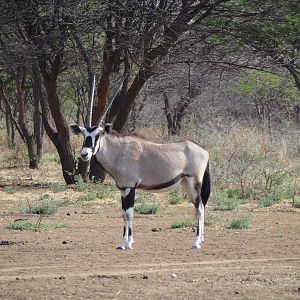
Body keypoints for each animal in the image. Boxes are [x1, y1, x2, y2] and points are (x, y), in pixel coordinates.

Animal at [70, 77, 211, 248]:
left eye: (98, 135)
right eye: (84, 134)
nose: (84, 154)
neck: (119, 151)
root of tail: (204, 151)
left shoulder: (130, 187)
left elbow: (129, 213)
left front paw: (127, 243)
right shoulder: (122, 188)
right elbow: (123, 213)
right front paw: (124, 242)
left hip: (194, 182)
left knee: (200, 207)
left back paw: (196, 242)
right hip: (185, 183)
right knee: (198, 207)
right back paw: (201, 239)